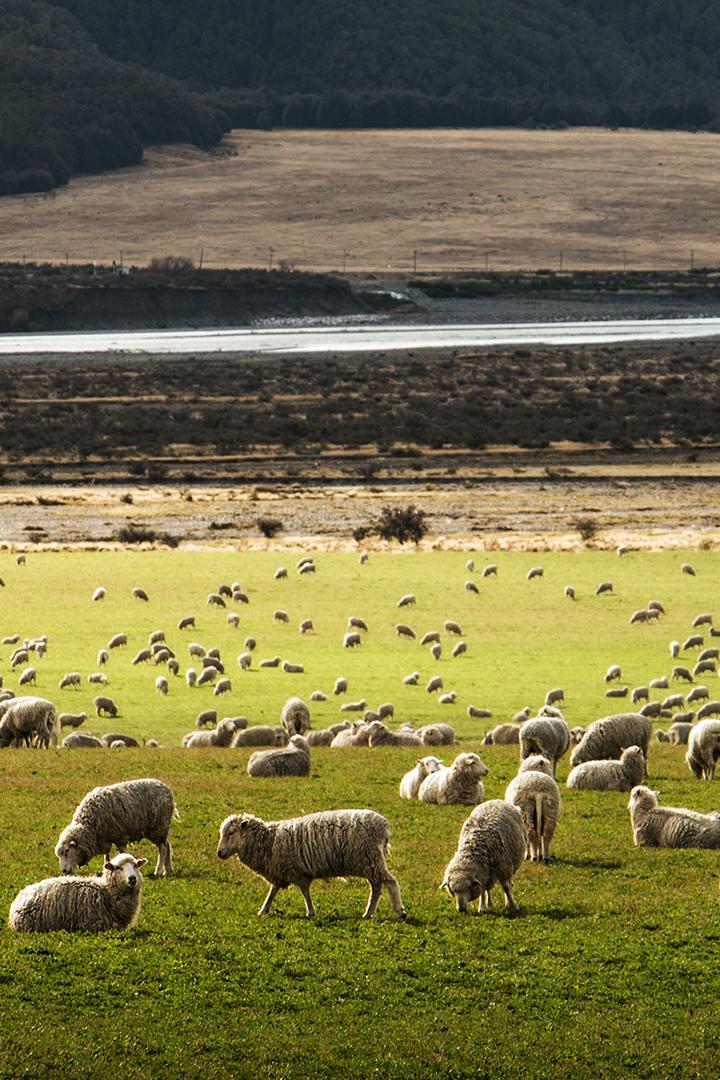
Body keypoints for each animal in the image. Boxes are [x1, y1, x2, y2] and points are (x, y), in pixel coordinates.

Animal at [216, 812, 405, 920]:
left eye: (231, 833)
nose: (219, 853)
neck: (269, 841)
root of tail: (383, 826)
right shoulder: (279, 872)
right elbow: (273, 891)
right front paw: (263, 910)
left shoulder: (295, 871)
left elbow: (304, 891)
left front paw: (311, 912)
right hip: (369, 862)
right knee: (377, 887)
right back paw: (368, 913)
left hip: (370, 859)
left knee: (390, 882)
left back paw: (399, 911)